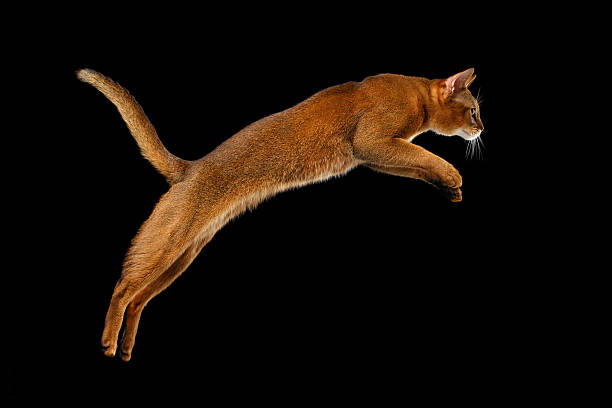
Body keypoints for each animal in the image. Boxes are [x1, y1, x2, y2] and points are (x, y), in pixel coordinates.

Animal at [79, 67, 486, 360]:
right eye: (474, 110)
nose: (482, 128)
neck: (414, 93)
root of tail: (189, 169)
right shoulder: (371, 141)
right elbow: (425, 155)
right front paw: (453, 175)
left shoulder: (375, 156)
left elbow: (415, 164)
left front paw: (447, 186)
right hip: (168, 242)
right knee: (123, 287)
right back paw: (109, 342)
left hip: (185, 254)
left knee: (139, 299)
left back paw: (126, 347)